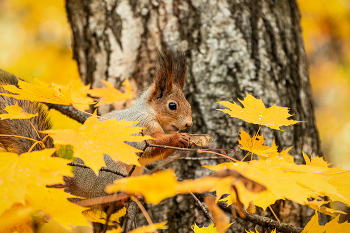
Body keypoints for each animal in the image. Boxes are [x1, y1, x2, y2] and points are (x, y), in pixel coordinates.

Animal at [0, 51, 191, 200]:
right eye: (172, 105)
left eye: (188, 104)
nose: (189, 124)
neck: (149, 111)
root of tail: (78, 187)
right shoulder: (142, 126)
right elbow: (152, 145)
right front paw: (178, 138)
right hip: (110, 172)